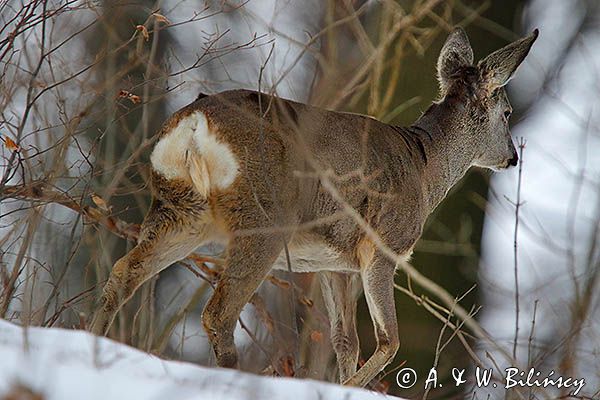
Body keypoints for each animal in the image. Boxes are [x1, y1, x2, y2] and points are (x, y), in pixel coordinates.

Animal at [90, 28, 540, 388]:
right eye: (507, 112)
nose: (513, 157)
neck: (425, 166)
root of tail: (195, 121)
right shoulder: (382, 246)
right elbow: (388, 341)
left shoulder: (333, 263)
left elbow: (345, 342)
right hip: (264, 216)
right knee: (217, 313)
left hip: (181, 209)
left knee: (123, 273)